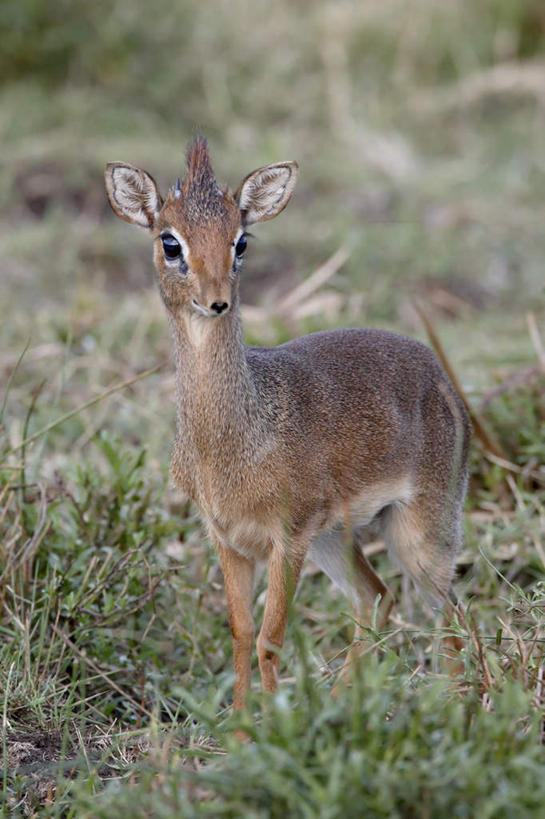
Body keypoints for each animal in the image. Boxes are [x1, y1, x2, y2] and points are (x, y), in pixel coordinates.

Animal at [104, 139, 470, 712]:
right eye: (170, 241)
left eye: (240, 239)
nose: (216, 300)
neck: (228, 444)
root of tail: (441, 377)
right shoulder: (228, 540)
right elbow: (239, 632)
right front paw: (239, 721)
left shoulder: (287, 539)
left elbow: (269, 638)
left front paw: (273, 720)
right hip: (337, 539)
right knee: (378, 598)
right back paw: (340, 703)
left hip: (421, 532)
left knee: (448, 612)